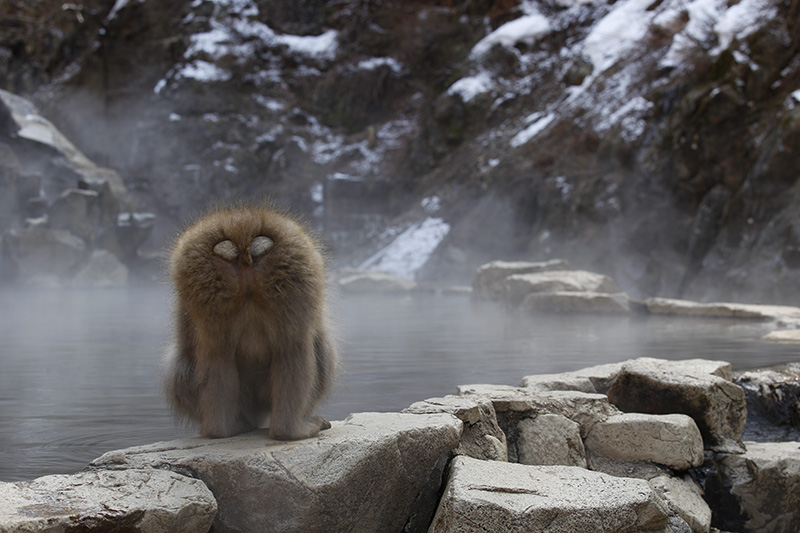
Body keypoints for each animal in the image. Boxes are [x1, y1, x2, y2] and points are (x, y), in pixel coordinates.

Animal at [163, 205, 339, 440]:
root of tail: (241, 230)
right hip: (296, 261)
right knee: (300, 347)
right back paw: (290, 429)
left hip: (202, 273)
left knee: (216, 352)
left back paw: (225, 428)